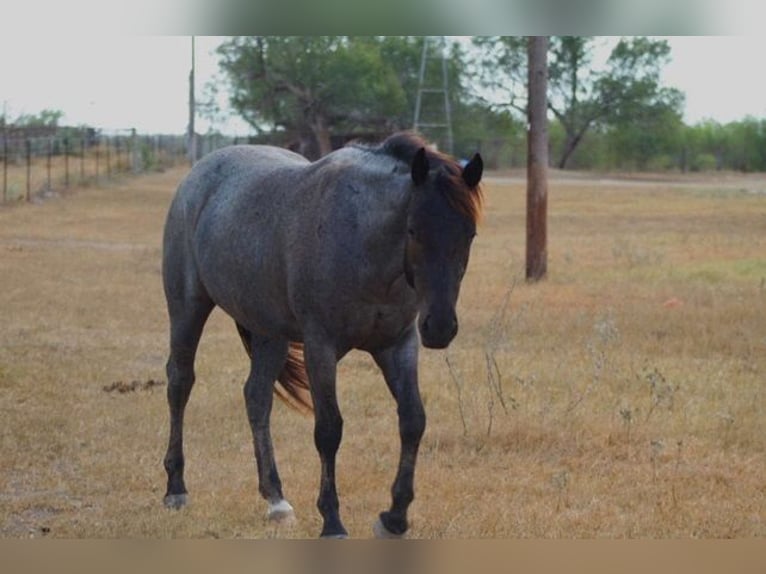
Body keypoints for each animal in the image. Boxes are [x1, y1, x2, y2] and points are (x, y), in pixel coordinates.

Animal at [161, 131, 483, 538]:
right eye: (413, 230)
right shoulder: (321, 346)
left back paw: (276, 498)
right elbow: (329, 429)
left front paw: (394, 517)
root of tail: (197, 175)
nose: (440, 326)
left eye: (469, 234)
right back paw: (176, 488)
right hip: (188, 309)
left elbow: (412, 421)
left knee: (256, 397)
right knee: (180, 383)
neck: (362, 244)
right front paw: (332, 520)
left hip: (270, 334)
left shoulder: (398, 345)